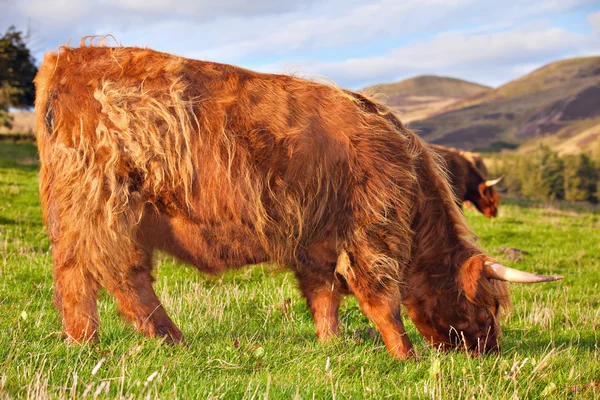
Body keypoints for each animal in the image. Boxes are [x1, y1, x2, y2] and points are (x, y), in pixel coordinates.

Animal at [34, 43, 564, 360]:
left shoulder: (318, 243)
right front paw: (406, 356)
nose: (489, 351)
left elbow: (324, 296)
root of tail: (66, 58)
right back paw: (115, 342)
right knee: (105, 273)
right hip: (105, 203)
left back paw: (113, 341)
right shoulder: (373, 230)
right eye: (489, 308)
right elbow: (381, 298)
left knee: (101, 274)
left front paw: (333, 345)